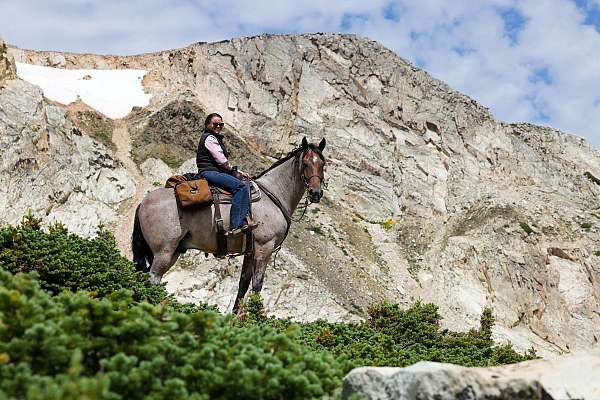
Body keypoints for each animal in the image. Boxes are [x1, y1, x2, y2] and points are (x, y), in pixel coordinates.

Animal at [132, 138, 328, 312]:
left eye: (322, 164)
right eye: (305, 163)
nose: (315, 193)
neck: (273, 195)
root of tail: (143, 202)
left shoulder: (250, 252)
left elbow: (243, 285)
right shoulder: (264, 248)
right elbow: (257, 285)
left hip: (172, 252)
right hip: (163, 252)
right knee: (154, 277)